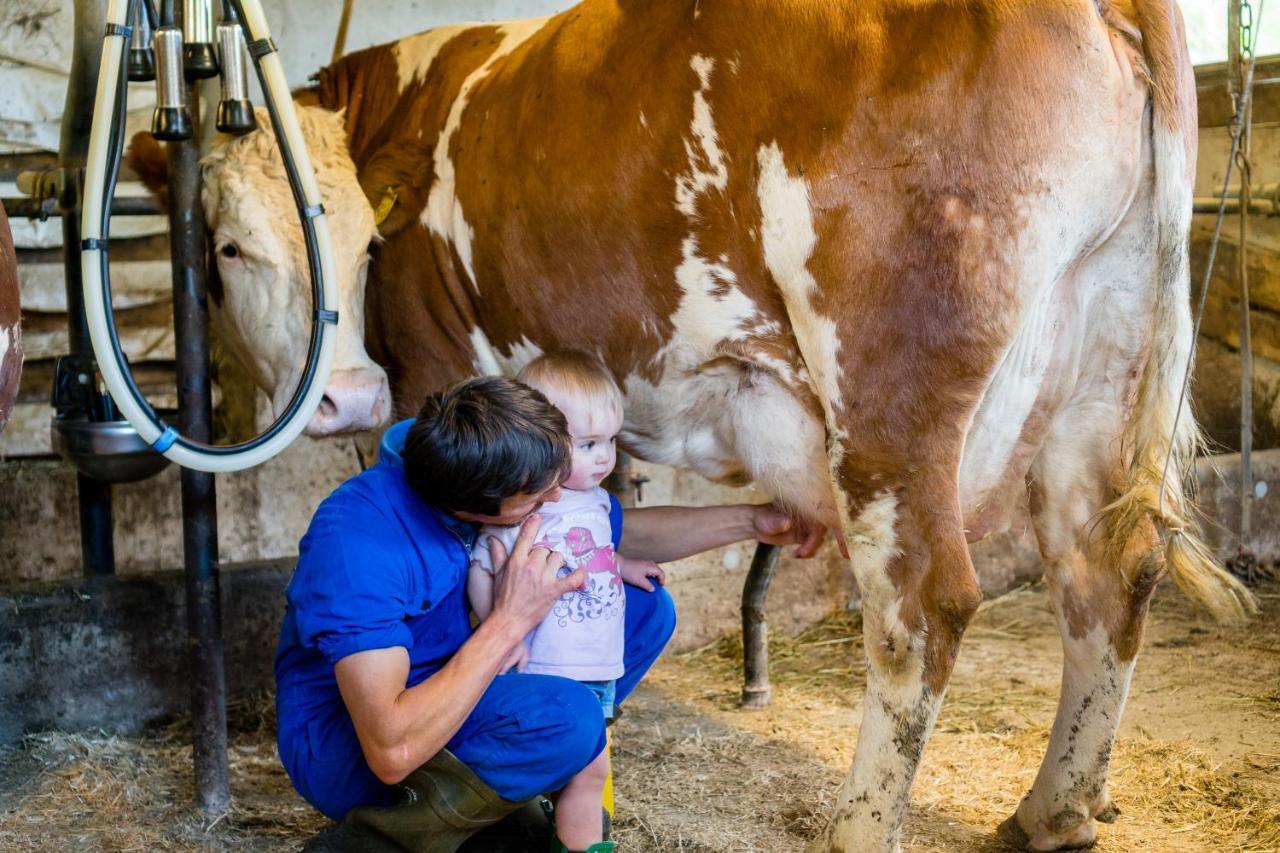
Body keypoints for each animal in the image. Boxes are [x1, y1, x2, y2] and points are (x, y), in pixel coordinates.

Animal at [135, 0, 1254, 845]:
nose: (349, 395)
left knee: (921, 604)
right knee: (1106, 570)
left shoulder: (441, 374)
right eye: (228, 245)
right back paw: (1052, 811)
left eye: (368, 244)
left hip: (889, 381)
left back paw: (859, 827)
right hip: (1102, 353)